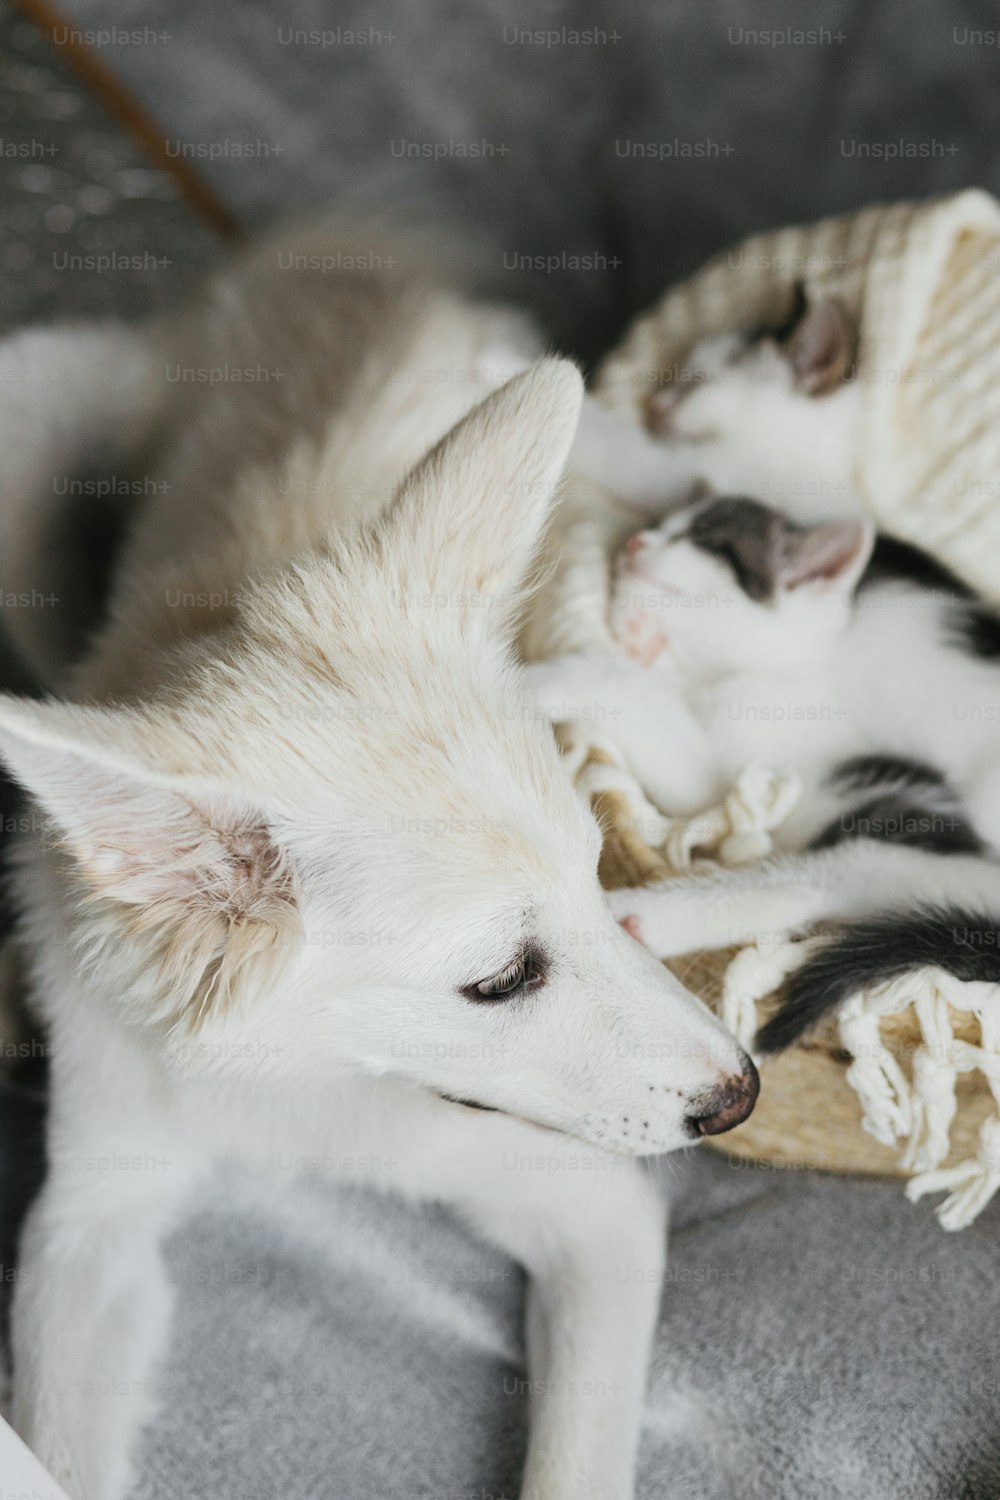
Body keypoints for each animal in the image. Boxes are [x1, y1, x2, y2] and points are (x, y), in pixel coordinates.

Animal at [0, 225, 755, 1500]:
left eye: (595, 869)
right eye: (498, 980)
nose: (741, 1095)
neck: (306, 1079)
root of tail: (327, 252)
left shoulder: (591, 1206)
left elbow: (575, 1462)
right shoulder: (94, 1213)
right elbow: (52, 1449)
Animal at [536, 495, 1000, 1056]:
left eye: (705, 539)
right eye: (660, 526)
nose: (634, 542)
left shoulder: (739, 761)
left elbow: (627, 690)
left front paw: (539, 681)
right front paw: (638, 635)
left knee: (811, 884)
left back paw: (642, 915)